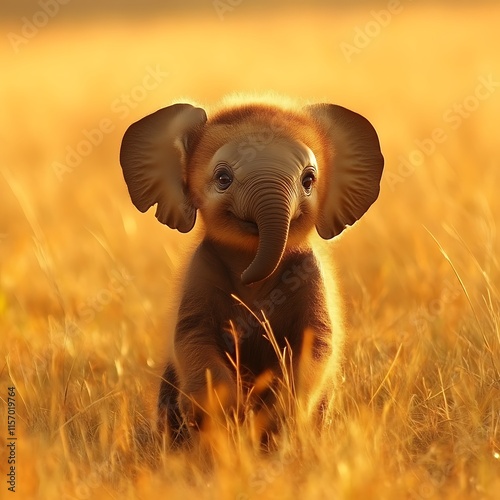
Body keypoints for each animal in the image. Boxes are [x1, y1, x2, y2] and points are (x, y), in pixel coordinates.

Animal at [119, 95, 384, 444]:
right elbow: (192, 336)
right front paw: (232, 418)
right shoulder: (200, 269)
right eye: (223, 178)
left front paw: (271, 419)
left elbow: (316, 340)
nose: (246, 281)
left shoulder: (310, 272)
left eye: (309, 180)